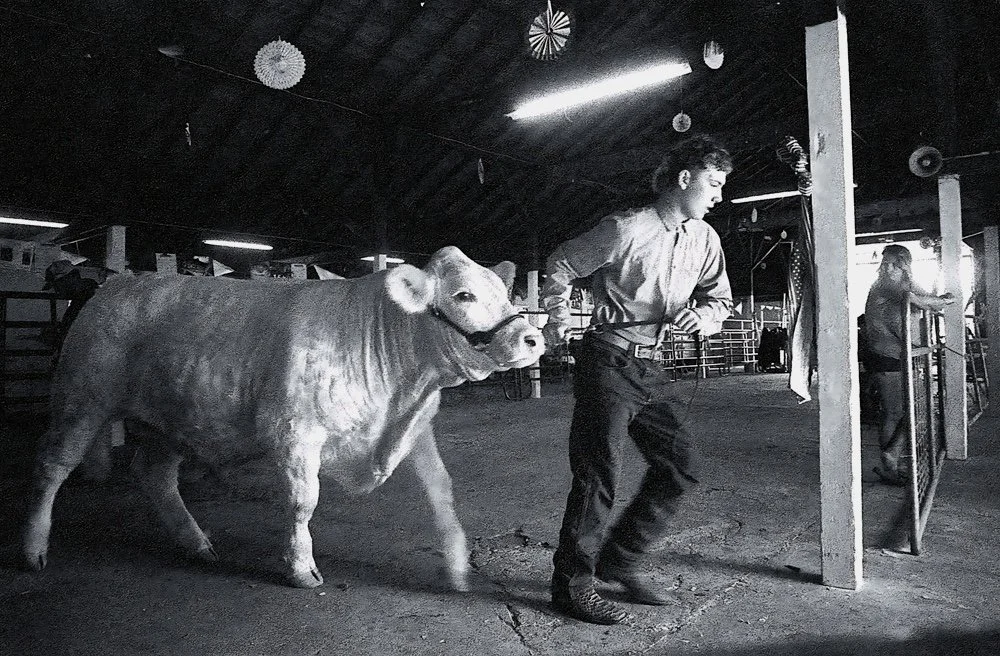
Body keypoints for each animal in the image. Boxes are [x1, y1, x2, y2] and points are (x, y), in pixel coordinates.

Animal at [20, 246, 544, 590]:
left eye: (505, 292)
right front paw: (300, 569)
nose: (533, 338)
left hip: (169, 418)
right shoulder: (295, 434)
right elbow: (302, 502)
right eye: (463, 295)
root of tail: (121, 281)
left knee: (154, 476)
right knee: (51, 467)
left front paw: (456, 566)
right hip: (83, 397)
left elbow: (441, 491)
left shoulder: (412, 427)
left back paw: (197, 544)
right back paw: (33, 549)